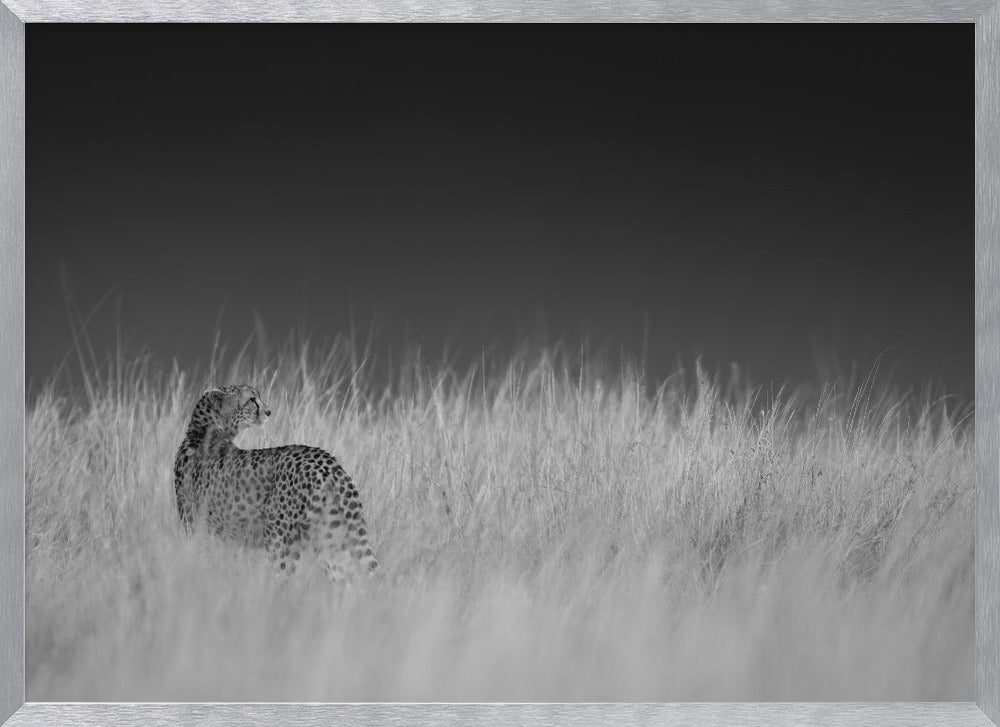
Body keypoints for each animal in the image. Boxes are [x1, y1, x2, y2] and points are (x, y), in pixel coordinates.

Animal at [173, 384, 379, 579]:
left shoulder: (198, 529)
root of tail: (326, 460)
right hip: (330, 537)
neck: (203, 431)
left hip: (280, 539)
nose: (268, 411)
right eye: (251, 399)